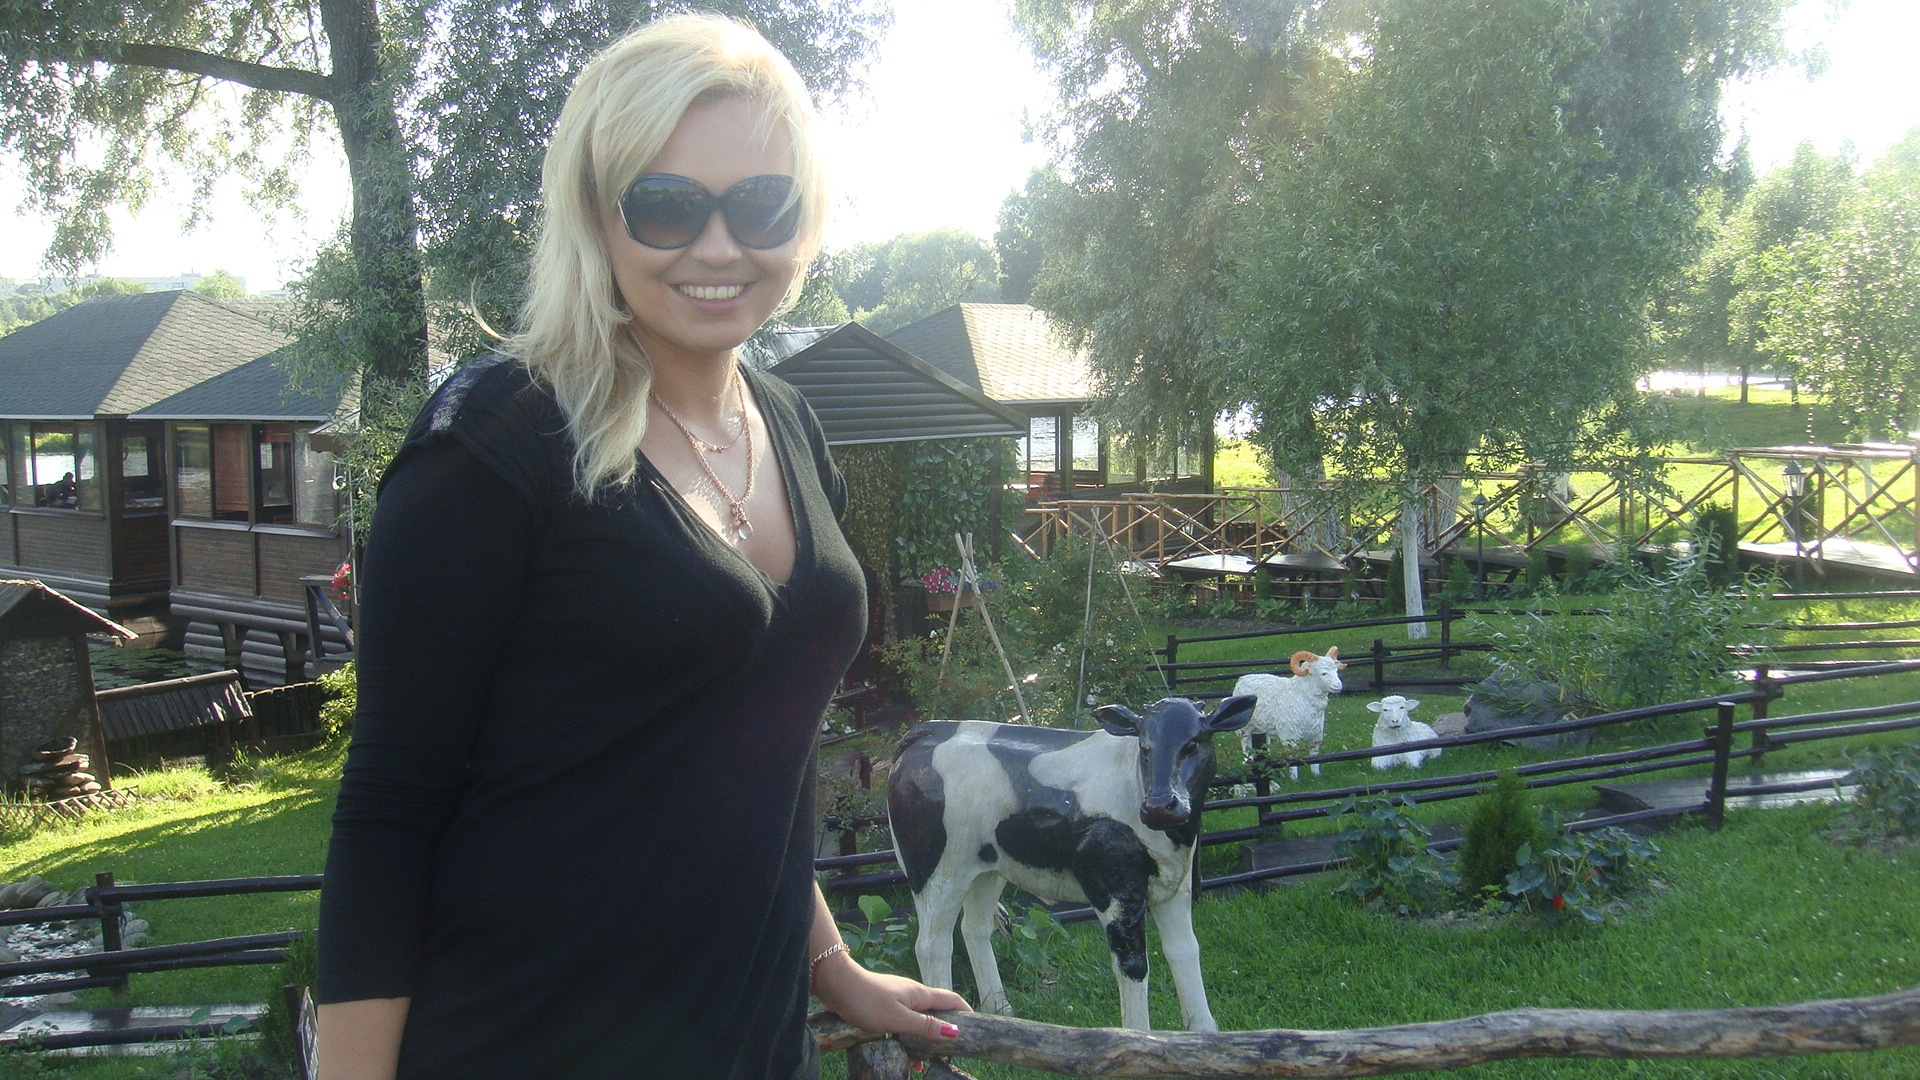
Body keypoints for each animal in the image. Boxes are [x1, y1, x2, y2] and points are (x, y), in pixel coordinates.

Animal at [886, 695, 1255, 1031]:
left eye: (1193, 743)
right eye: (1144, 747)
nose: (1160, 806)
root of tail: (930, 730)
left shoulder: (1175, 885)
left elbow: (1185, 950)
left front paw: (1205, 1033)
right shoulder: (1115, 888)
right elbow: (1133, 965)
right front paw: (1139, 1038)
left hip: (986, 868)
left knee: (973, 929)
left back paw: (1001, 1012)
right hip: (936, 870)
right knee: (932, 944)